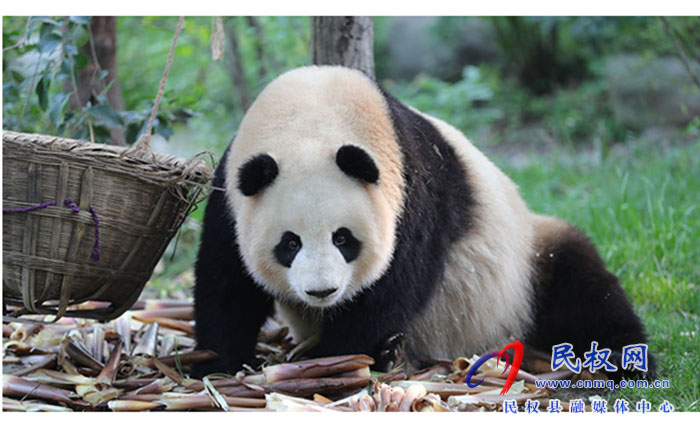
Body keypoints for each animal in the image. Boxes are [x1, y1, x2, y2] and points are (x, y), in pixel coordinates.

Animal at [190, 64, 652, 378]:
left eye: (343, 239)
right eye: (290, 243)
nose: (322, 291)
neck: (312, 115)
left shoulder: (412, 190)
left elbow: (392, 288)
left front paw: (334, 361)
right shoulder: (229, 195)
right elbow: (226, 282)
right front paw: (218, 364)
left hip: (529, 261)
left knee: (581, 285)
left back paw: (623, 360)